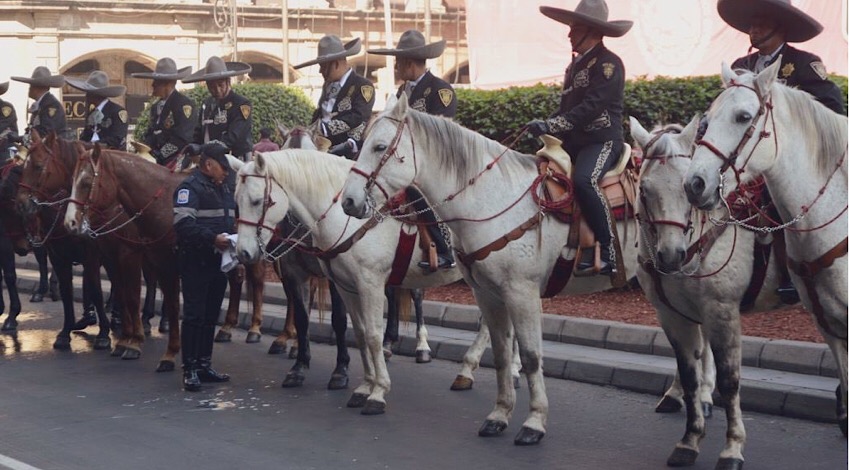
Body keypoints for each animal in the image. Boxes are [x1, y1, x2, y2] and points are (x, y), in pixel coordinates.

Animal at [232, 150, 460, 414]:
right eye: (237, 202)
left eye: (258, 201)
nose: (244, 253)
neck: (345, 218)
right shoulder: (336, 283)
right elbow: (355, 332)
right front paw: (360, 386)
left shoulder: (368, 283)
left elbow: (365, 331)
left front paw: (369, 387)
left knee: (420, 298)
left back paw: (424, 348)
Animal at [340, 94, 636, 444]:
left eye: (379, 146)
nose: (348, 201)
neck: (493, 199)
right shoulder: (488, 293)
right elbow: (501, 353)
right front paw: (499, 415)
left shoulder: (522, 292)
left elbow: (533, 355)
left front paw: (534, 422)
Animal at [628, 114, 796, 470]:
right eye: (645, 189)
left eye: (686, 186)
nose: (671, 255)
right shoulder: (672, 314)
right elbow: (689, 371)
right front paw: (690, 438)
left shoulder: (722, 311)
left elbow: (730, 381)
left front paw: (732, 448)